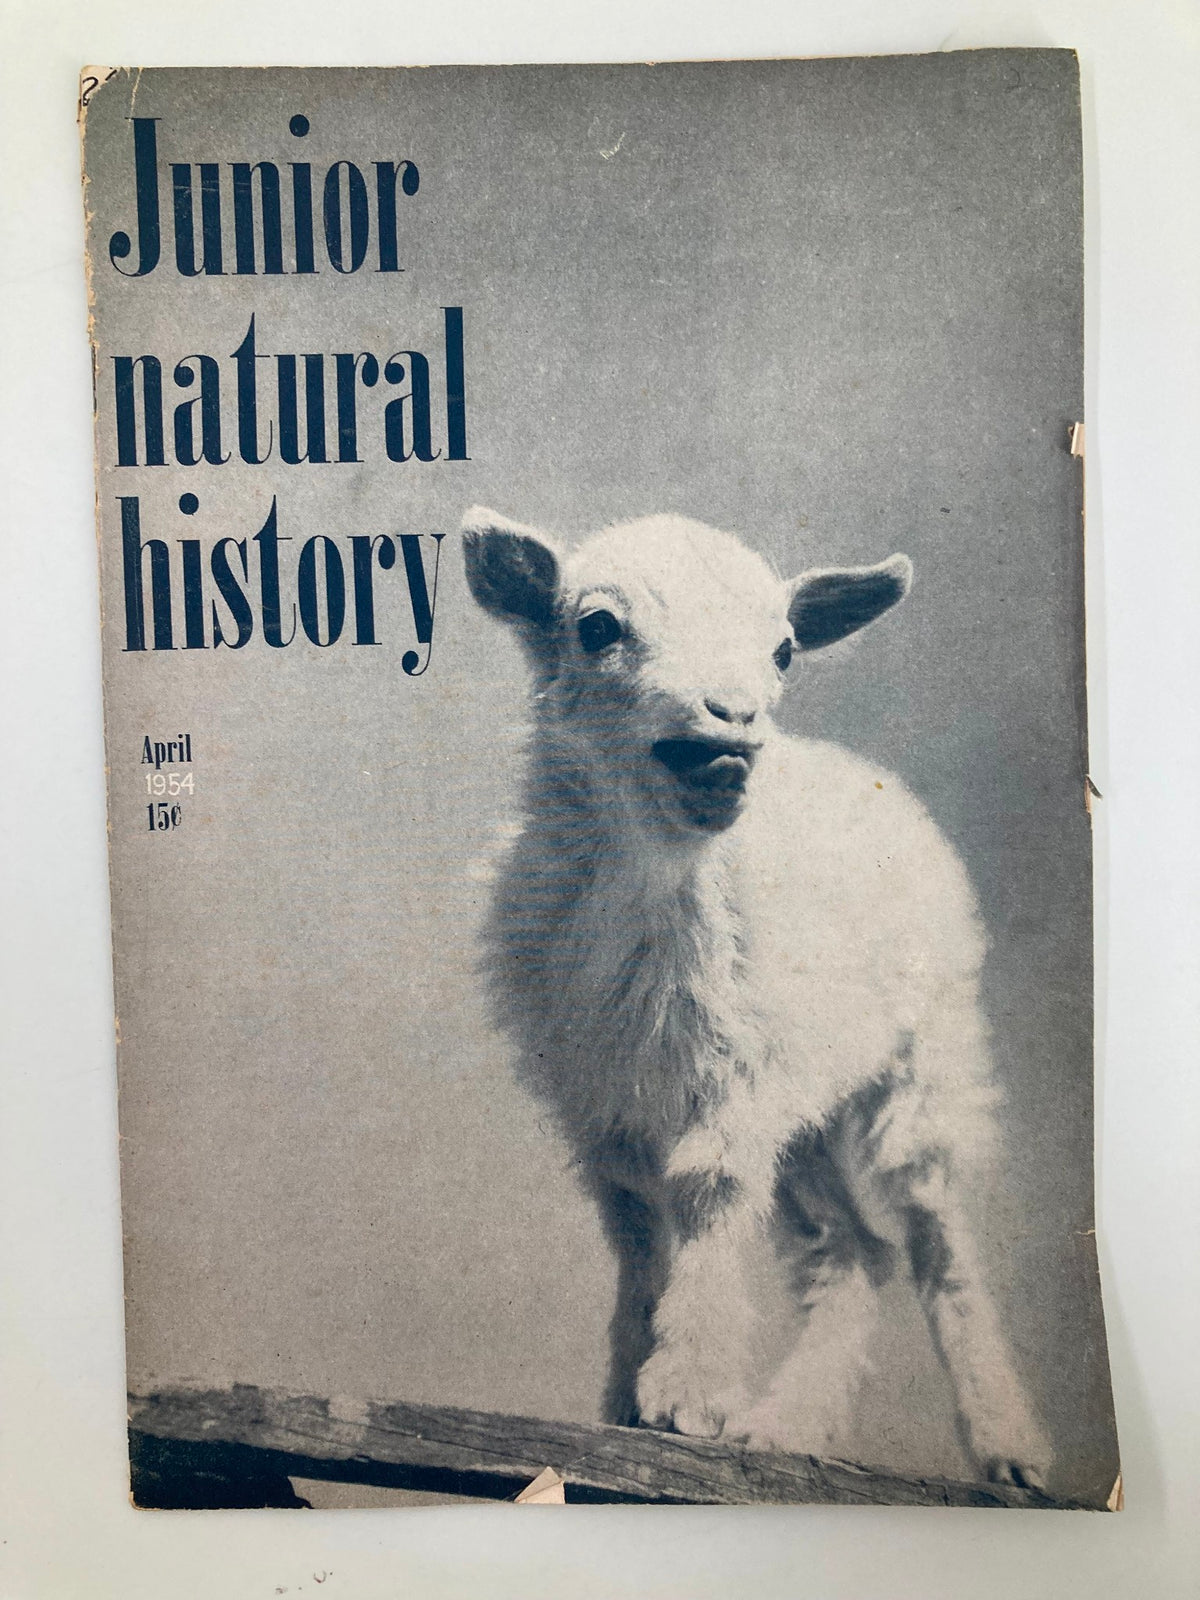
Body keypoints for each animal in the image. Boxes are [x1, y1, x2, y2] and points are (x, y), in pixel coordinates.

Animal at [462, 506, 1051, 1488]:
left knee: (936, 1234)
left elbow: (707, 1191)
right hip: (805, 1105)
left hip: (929, 1053)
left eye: (782, 651)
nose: (733, 717)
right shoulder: (600, 1100)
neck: (655, 883)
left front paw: (689, 1388)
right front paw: (627, 1391)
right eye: (597, 626)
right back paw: (790, 1423)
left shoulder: (739, 1072)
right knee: (852, 1250)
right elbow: (635, 1228)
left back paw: (1006, 1441)